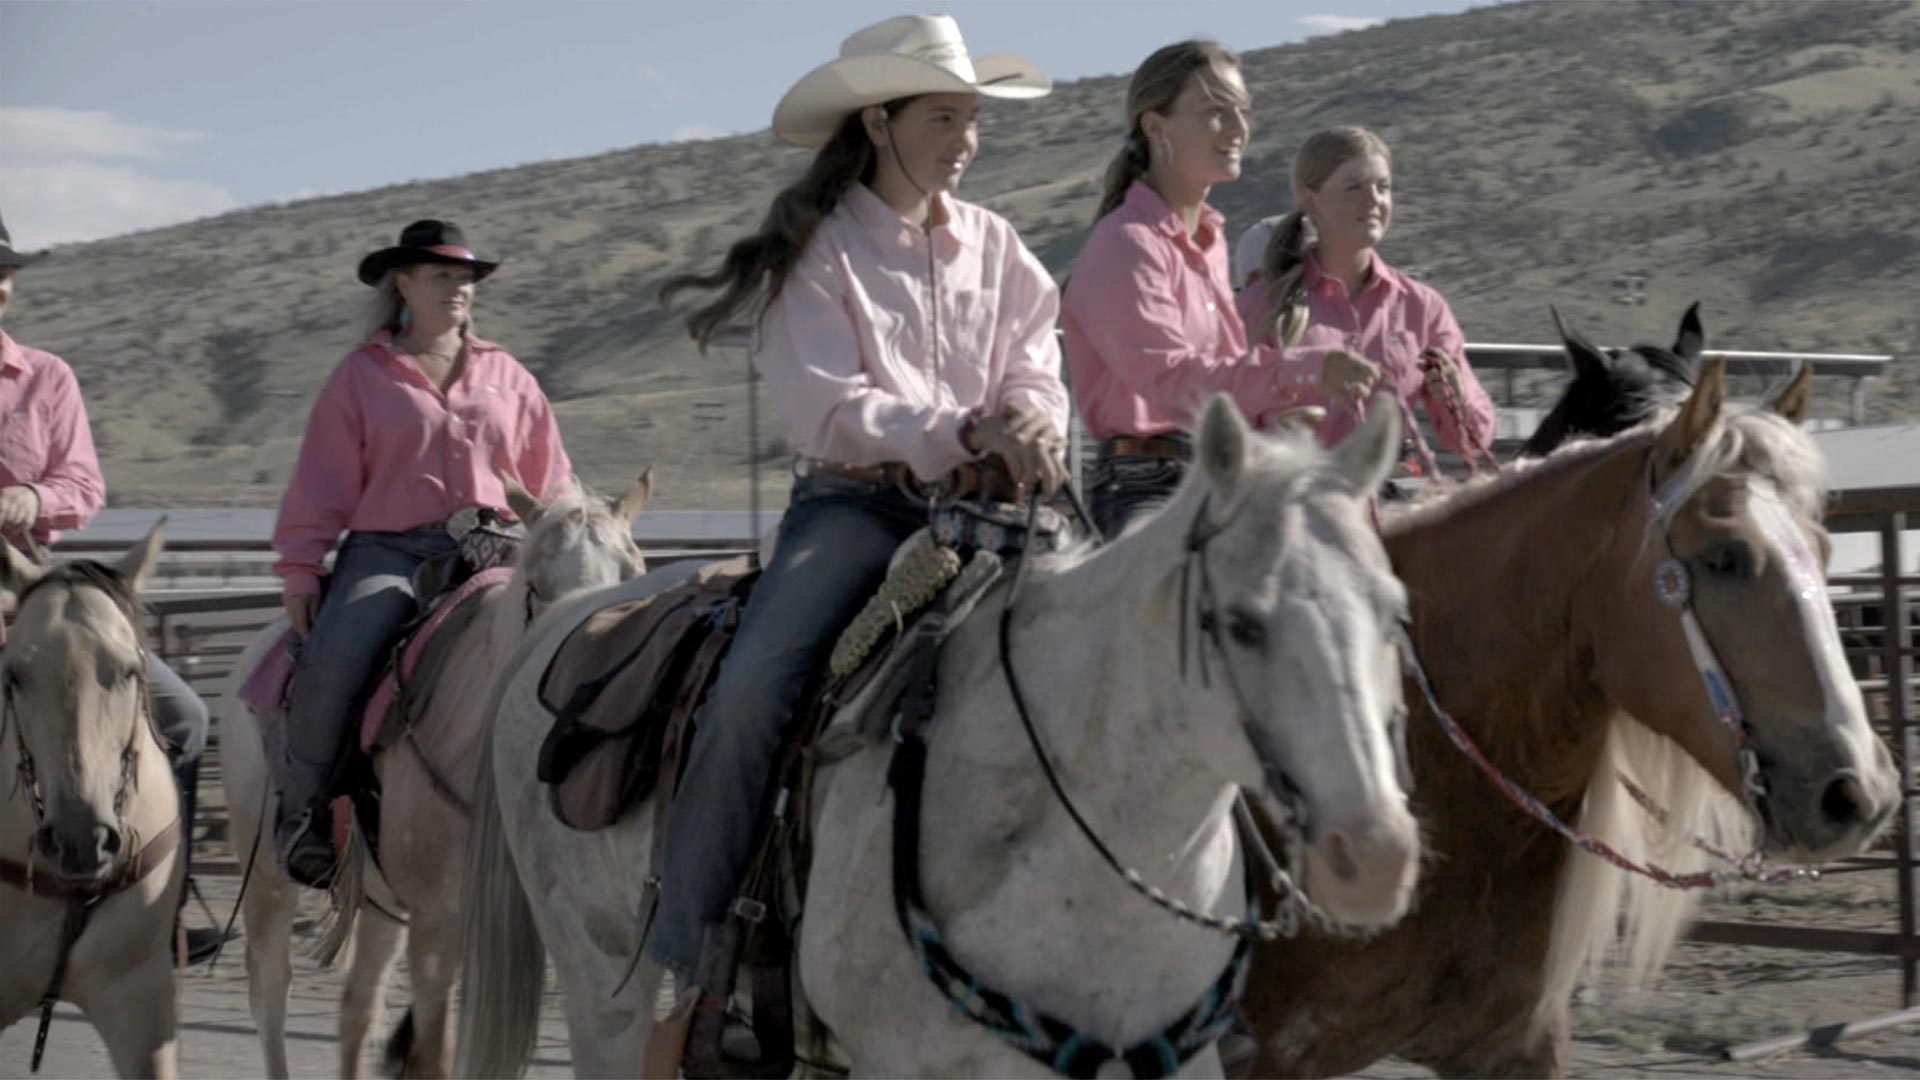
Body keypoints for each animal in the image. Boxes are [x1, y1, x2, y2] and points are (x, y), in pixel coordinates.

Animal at [220, 474, 648, 1068]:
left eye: (632, 576)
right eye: (537, 589)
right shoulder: (438, 922)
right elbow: (434, 1053)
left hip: (377, 899)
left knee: (357, 1007)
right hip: (265, 874)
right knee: (270, 992)